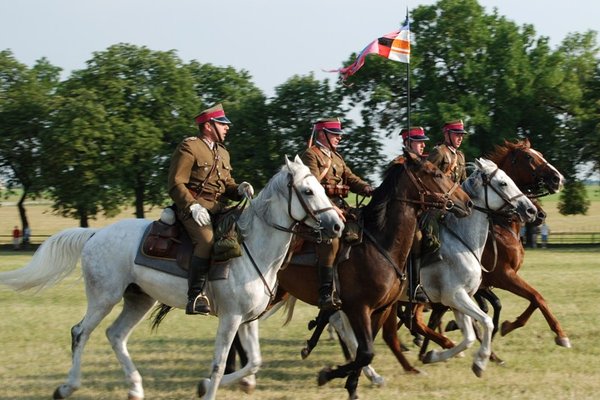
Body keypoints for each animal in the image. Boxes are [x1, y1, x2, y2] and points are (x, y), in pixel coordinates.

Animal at [0, 155, 344, 400]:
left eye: (323, 188)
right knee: (80, 332)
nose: (337, 225)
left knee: (115, 335)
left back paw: (135, 388)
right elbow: (219, 364)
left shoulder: (248, 320)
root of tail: (95, 234)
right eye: (308, 190)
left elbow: (254, 361)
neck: (252, 248)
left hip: (139, 299)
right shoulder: (230, 318)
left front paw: (204, 386)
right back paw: (67, 387)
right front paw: (208, 388)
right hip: (103, 297)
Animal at [278, 151, 474, 400]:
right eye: (437, 173)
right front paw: (328, 375)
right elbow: (365, 352)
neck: (381, 244)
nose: (467, 202)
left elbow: (366, 350)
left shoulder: (381, 309)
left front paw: (351, 384)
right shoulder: (358, 308)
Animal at [418, 158, 540, 376]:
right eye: (503, 183)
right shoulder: (458, 294)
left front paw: (433, 355)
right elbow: (488, 320)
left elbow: (471, 334)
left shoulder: (460, 297)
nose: (532, 211)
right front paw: (482, 359)